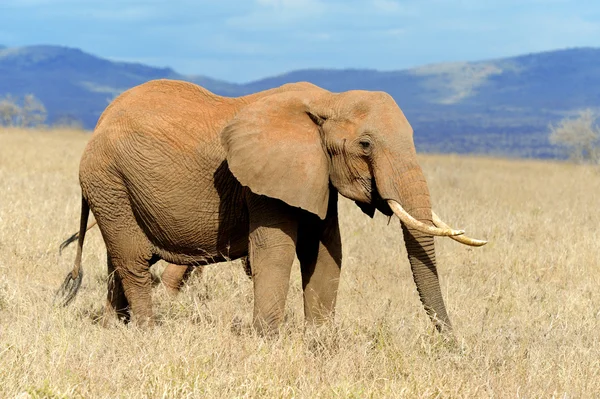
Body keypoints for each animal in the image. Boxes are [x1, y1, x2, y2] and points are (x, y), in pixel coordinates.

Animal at [57, 78, 488, 334]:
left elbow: (326, 251)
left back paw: (114, 329)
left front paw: (320, 344)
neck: (327, 100)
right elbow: (276, 251)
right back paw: (148, 333)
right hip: (107, 179)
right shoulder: (263, 181)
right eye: (365, 145)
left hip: (114, 188)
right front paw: (267, 341)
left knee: (118, 260)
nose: (454, 346)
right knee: (132, 260)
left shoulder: (314, 175)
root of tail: (100, 121)